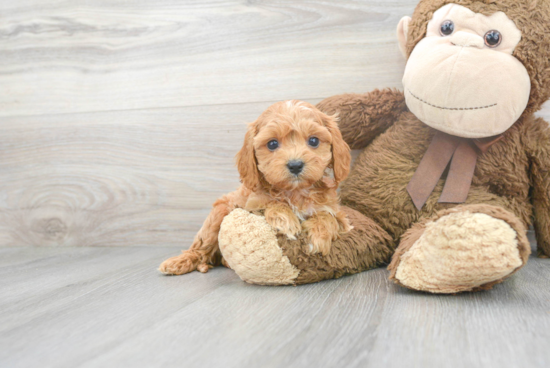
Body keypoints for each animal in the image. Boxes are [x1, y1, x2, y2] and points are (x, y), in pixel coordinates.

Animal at [160, 100, 354, 276]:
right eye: (272, 144)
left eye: (314, 140)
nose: (295, 165)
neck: (295, 192)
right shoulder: (251, 204)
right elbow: (271, 203)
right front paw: (285, 220)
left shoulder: (339, 215)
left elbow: (328, 216)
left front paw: (319, 236)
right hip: (218, 215)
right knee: (201, 247)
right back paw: (179, 262)